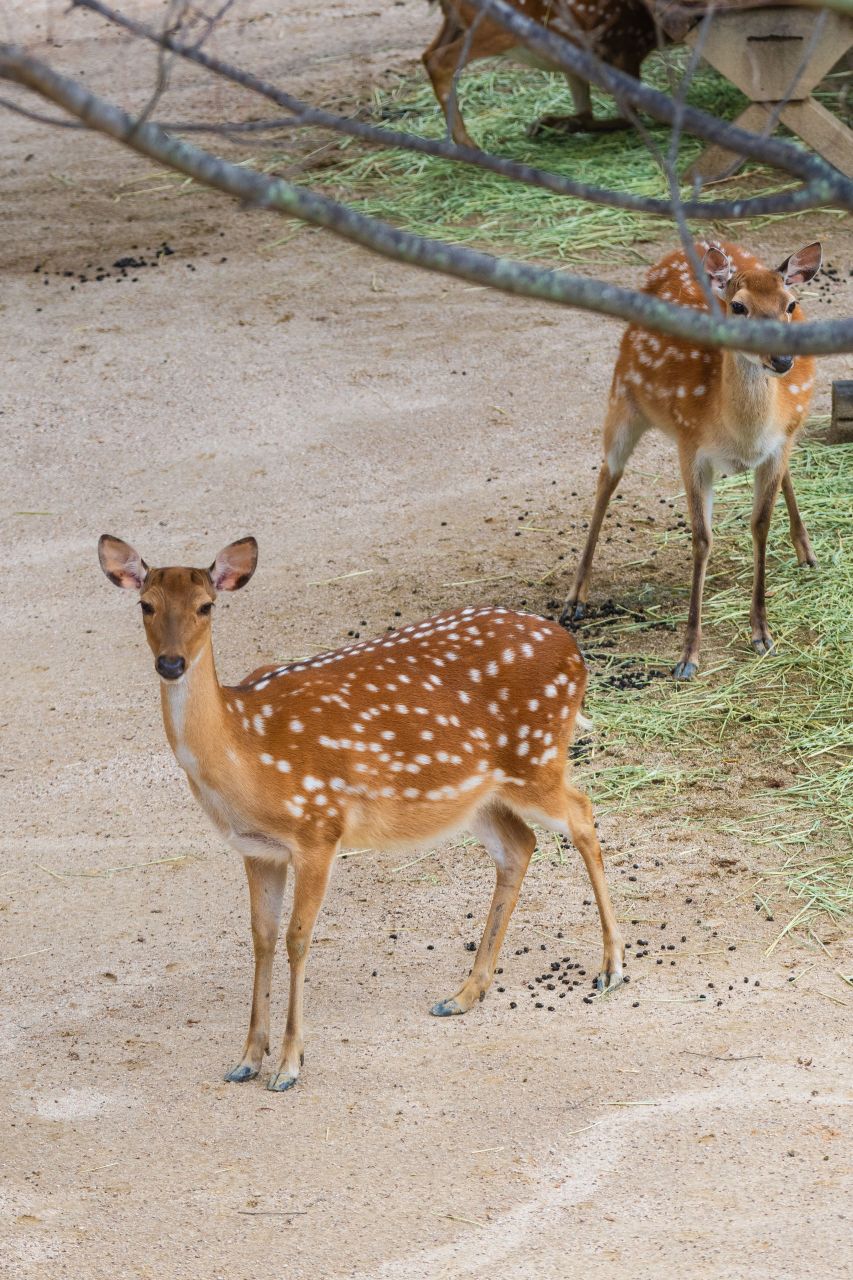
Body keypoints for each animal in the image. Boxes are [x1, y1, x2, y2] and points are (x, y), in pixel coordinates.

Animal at [99, 534, 624, 1092]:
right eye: (145, 605)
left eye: (206, 606)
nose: (171, 663)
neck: (246, 752)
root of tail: (574, 653)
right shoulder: (257, 850)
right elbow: (261, 938)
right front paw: (246, 1059)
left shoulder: (318, 829)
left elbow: (297, 939)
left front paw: (289, 1065)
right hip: (474, 795)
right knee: (520, 846)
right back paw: (464, 994)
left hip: (535, 758)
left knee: (582, 814)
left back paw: (611, 966)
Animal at [423, 0, 658, 149]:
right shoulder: (626, 50)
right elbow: (630, 117)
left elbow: (586, 112)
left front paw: (549, 122)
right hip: (499, 26)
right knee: (439, 60)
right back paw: (468, 145)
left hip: (454, 20)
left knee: (427, 55)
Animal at [561, 238, 822, 679]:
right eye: (738, 306)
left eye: (790, 304)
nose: (782, 360)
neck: (739, 434)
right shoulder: (690, 445)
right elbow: (702, 537)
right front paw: (687, 656)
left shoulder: (778, 444)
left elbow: (760, 525)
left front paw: (763, 633)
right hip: (623, 395)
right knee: (607, 477)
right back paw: (576, 597)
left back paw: (807, 552)